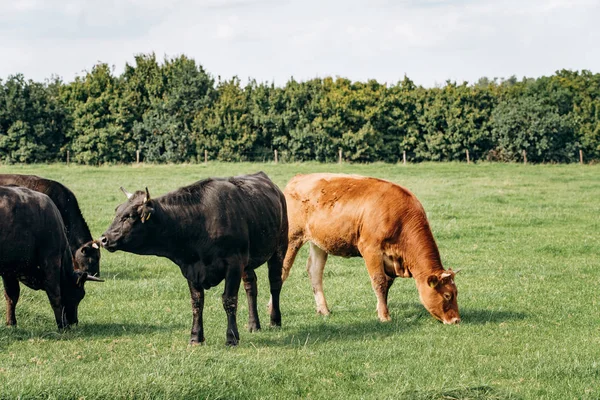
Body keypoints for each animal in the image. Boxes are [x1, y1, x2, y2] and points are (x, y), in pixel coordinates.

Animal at [0, 184, 103, 328]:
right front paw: (62, 326)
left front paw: (11, 323)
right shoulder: (50, 262)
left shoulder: (10, 269)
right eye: (80, 295)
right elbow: (55, 295)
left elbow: (12, 296)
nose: (74, 322)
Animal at [101, 172, 288, 346]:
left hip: (279, 247)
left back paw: (275, 320)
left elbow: (229, 300)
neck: (200, 223)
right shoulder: (191, 267)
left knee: (275, 283)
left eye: (130, 216)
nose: (104, 238)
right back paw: (253, 324)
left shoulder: (234, 263)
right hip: (248, 262)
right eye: (117, 211)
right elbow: (197, 302)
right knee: (251, 286)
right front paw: (196, 337)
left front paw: (231, 337)